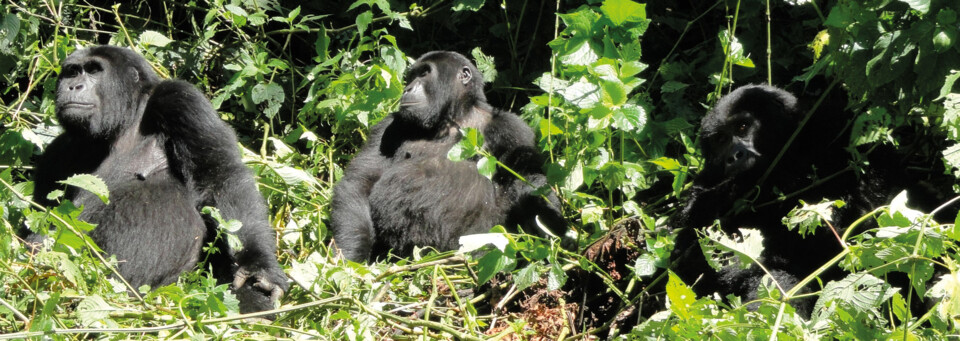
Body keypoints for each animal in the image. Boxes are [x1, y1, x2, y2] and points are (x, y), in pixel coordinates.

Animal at [25, 45, 288, 314]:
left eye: (94, 70)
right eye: (71, 72)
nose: (73, 86)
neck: (128, 117)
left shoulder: (180, 99)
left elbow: (220, 176)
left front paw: (258, 266)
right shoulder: (56, 152)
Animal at [332, 50, 568, 260]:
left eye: (425, 73)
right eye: (411, 76)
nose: (408, 88)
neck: (453, 118)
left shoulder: (512, 128)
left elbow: (526, 176)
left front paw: (549, 221)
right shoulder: (389, 125)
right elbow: (361, 183)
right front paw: (352, 255)